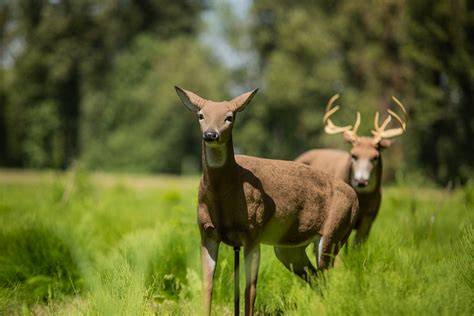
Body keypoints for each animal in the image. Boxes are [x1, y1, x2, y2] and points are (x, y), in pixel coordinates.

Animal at [175, 87, 360, 316]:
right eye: (201, 115)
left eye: (229, 117)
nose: (210, 134)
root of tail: (355, 197)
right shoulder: (206, 233)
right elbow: (208, 286)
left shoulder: (253, 231)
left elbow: (250, 288)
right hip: (289, 248)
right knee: (317, 278)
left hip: (335, 232)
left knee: (334, 276)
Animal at [294, 95, 406, 246]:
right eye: (353, 155)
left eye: (375, 157)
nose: (361, 181)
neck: (362, 202)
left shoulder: (369, 218)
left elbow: (356, 246)